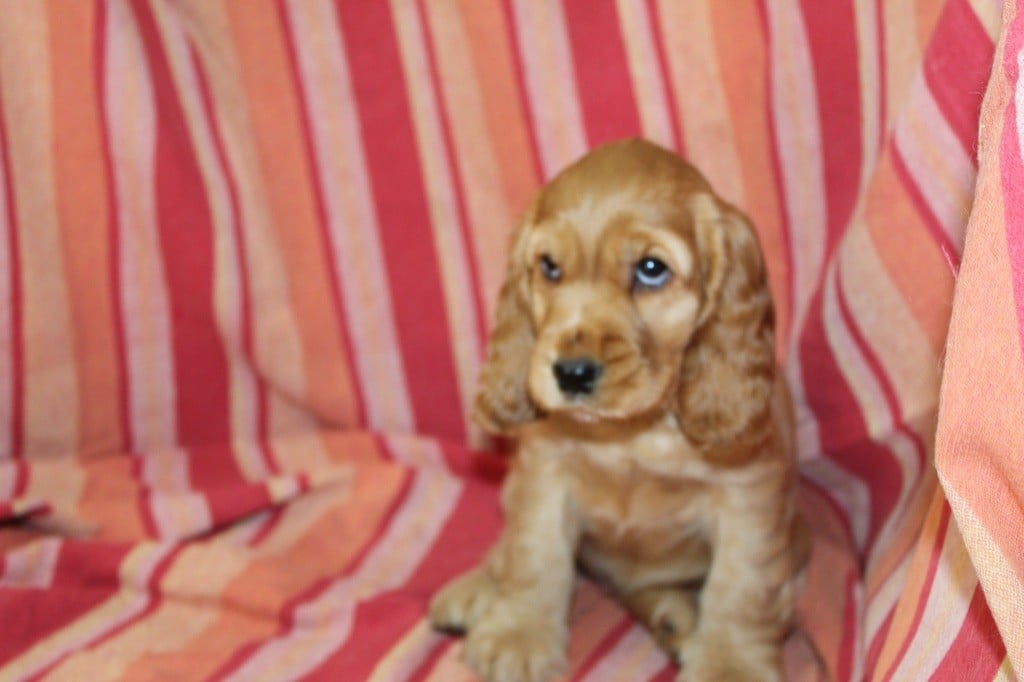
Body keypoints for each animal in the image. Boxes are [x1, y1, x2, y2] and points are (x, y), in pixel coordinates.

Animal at [430, 139, 809, 682]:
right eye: (549, 267)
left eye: (651, 269)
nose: (570, 373)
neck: (634, 431)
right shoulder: (543, 475)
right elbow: (535, 555)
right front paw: (517, 635)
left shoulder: (749, 499)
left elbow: (740, 590)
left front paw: (730, 665)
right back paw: (478, 588)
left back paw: (675, 617)